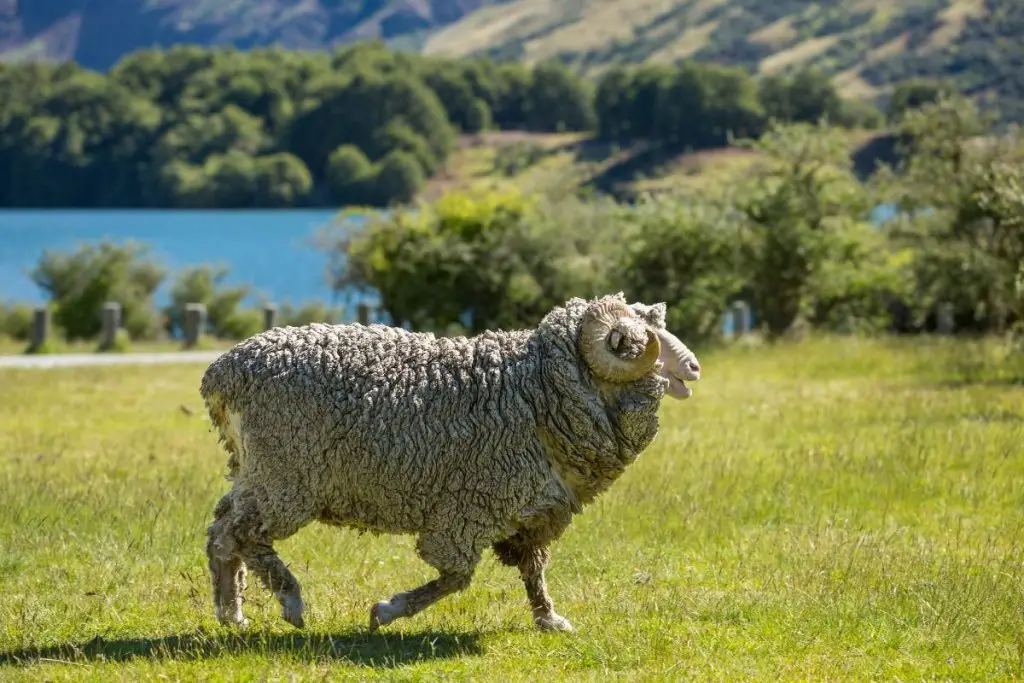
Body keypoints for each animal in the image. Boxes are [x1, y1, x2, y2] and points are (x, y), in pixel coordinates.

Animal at [197, 290, 696, 634]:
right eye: (637, 341)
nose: (693, 367)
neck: (534, 390)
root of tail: (222, 374)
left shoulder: (536, 512)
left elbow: (533, 570)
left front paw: (549, 619)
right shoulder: (468, 507)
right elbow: (456, 575)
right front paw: (387, 611)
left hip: (255, 471)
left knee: (222, 530)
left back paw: (231, 612)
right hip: (287, 477)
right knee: (243, 532)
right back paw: (290, 601)